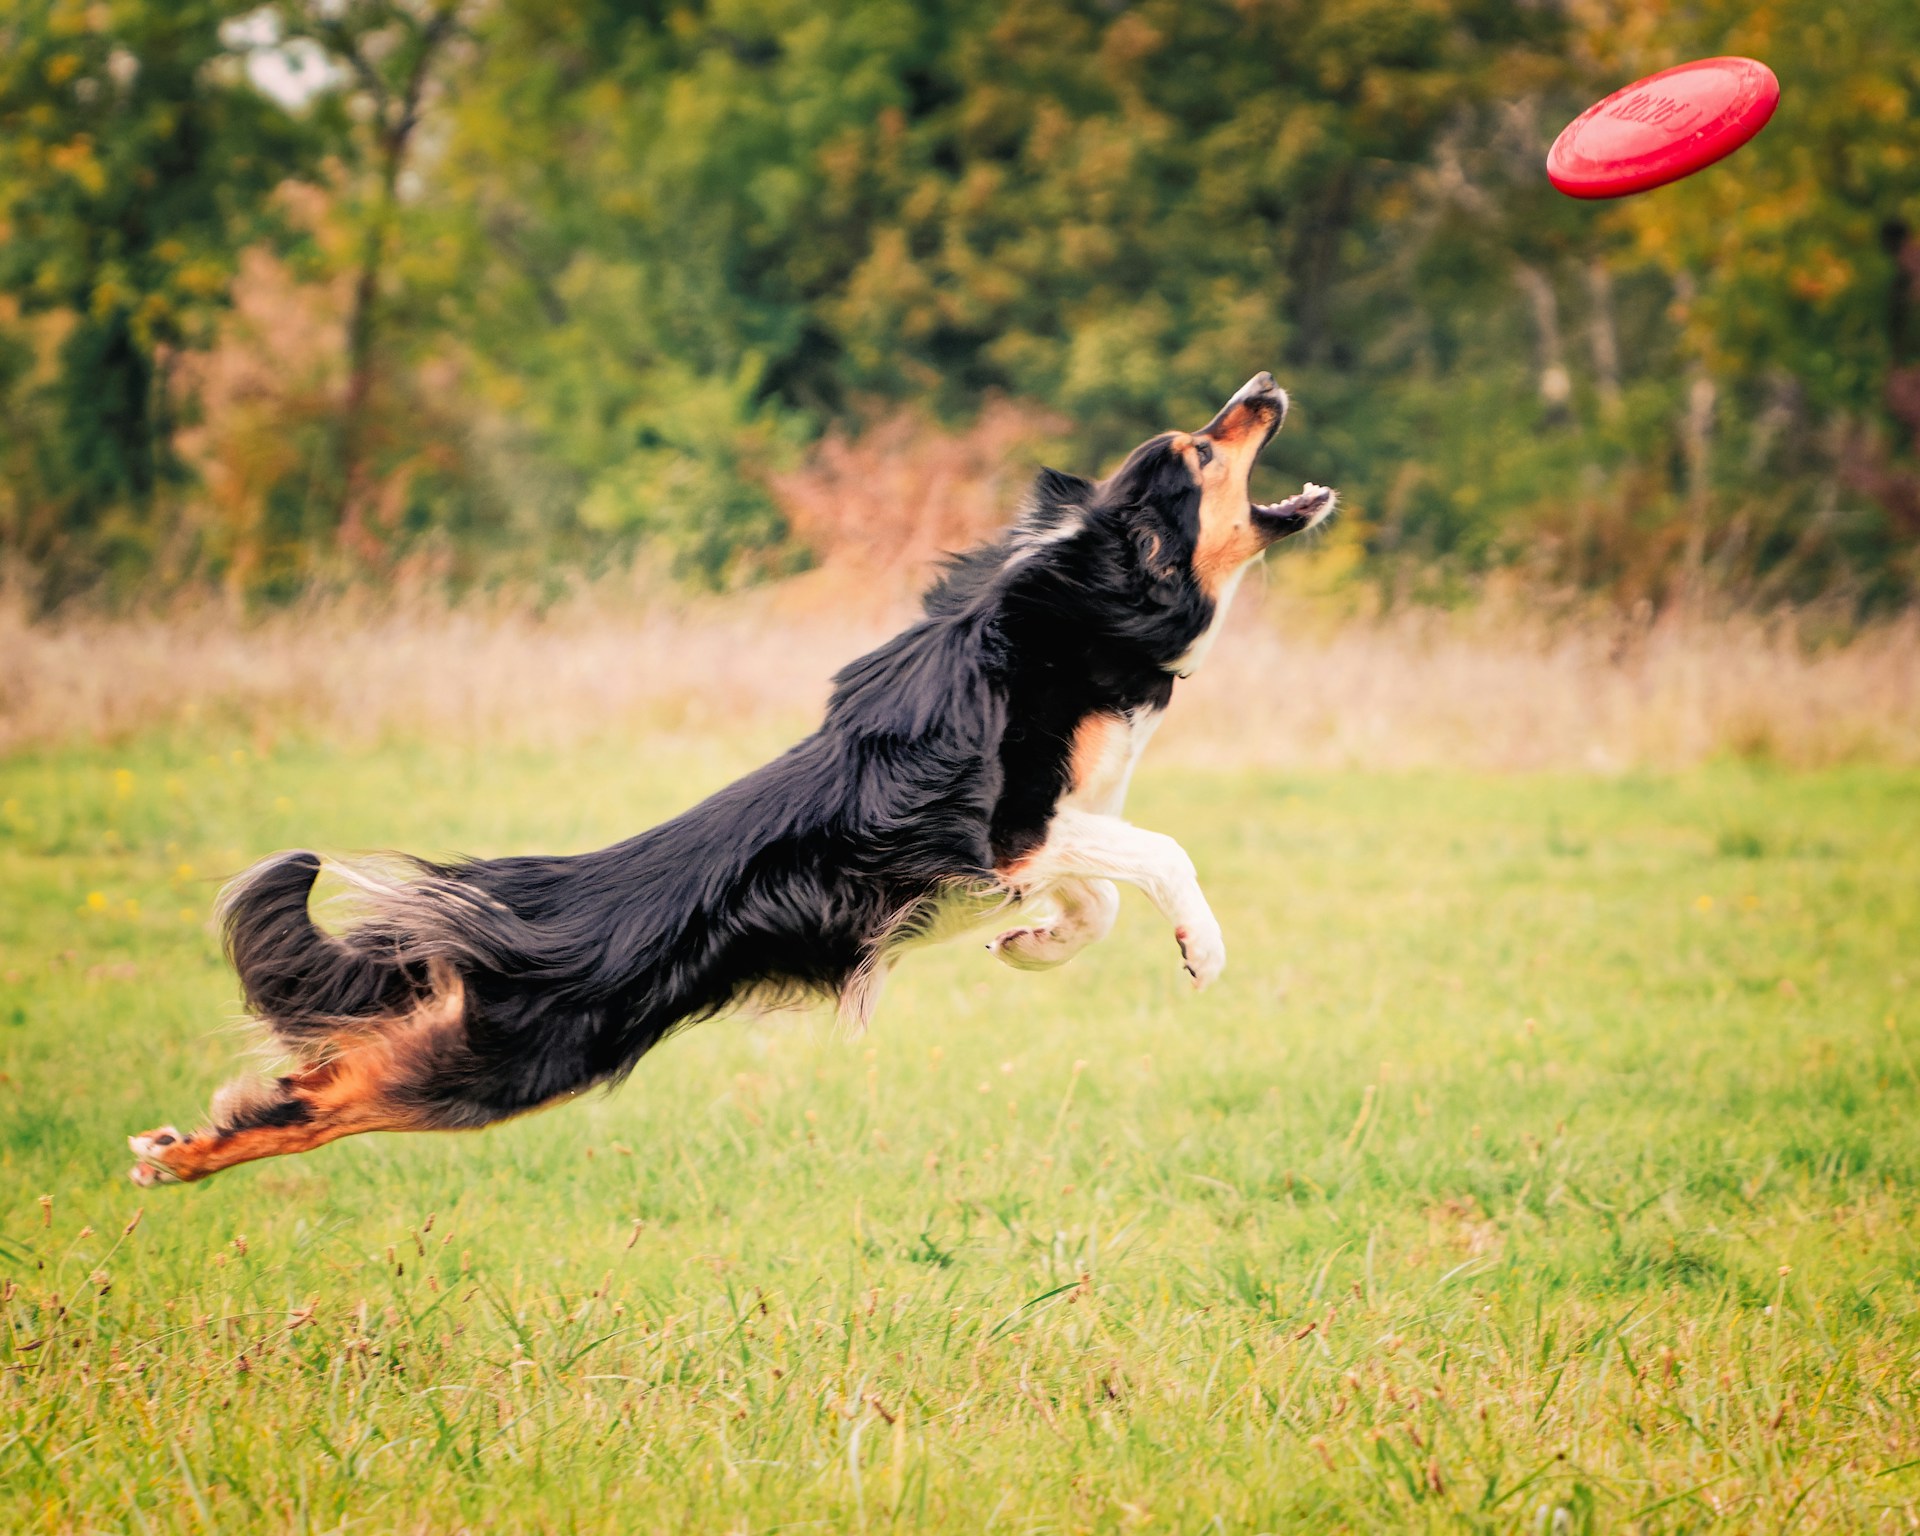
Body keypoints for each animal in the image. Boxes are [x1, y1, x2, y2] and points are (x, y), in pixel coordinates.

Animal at [127, 372, 1336, 1190]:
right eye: (1202, 449)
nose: (1263, 385)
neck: (1091, 607)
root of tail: (532, 905)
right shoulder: (1005, 824)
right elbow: (1160, 854)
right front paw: (1201, 948)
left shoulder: (1048, 831)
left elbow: (1096, 898)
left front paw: (1030, 945)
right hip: (519, 1062)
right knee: (330, 1093)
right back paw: (179, 1156)